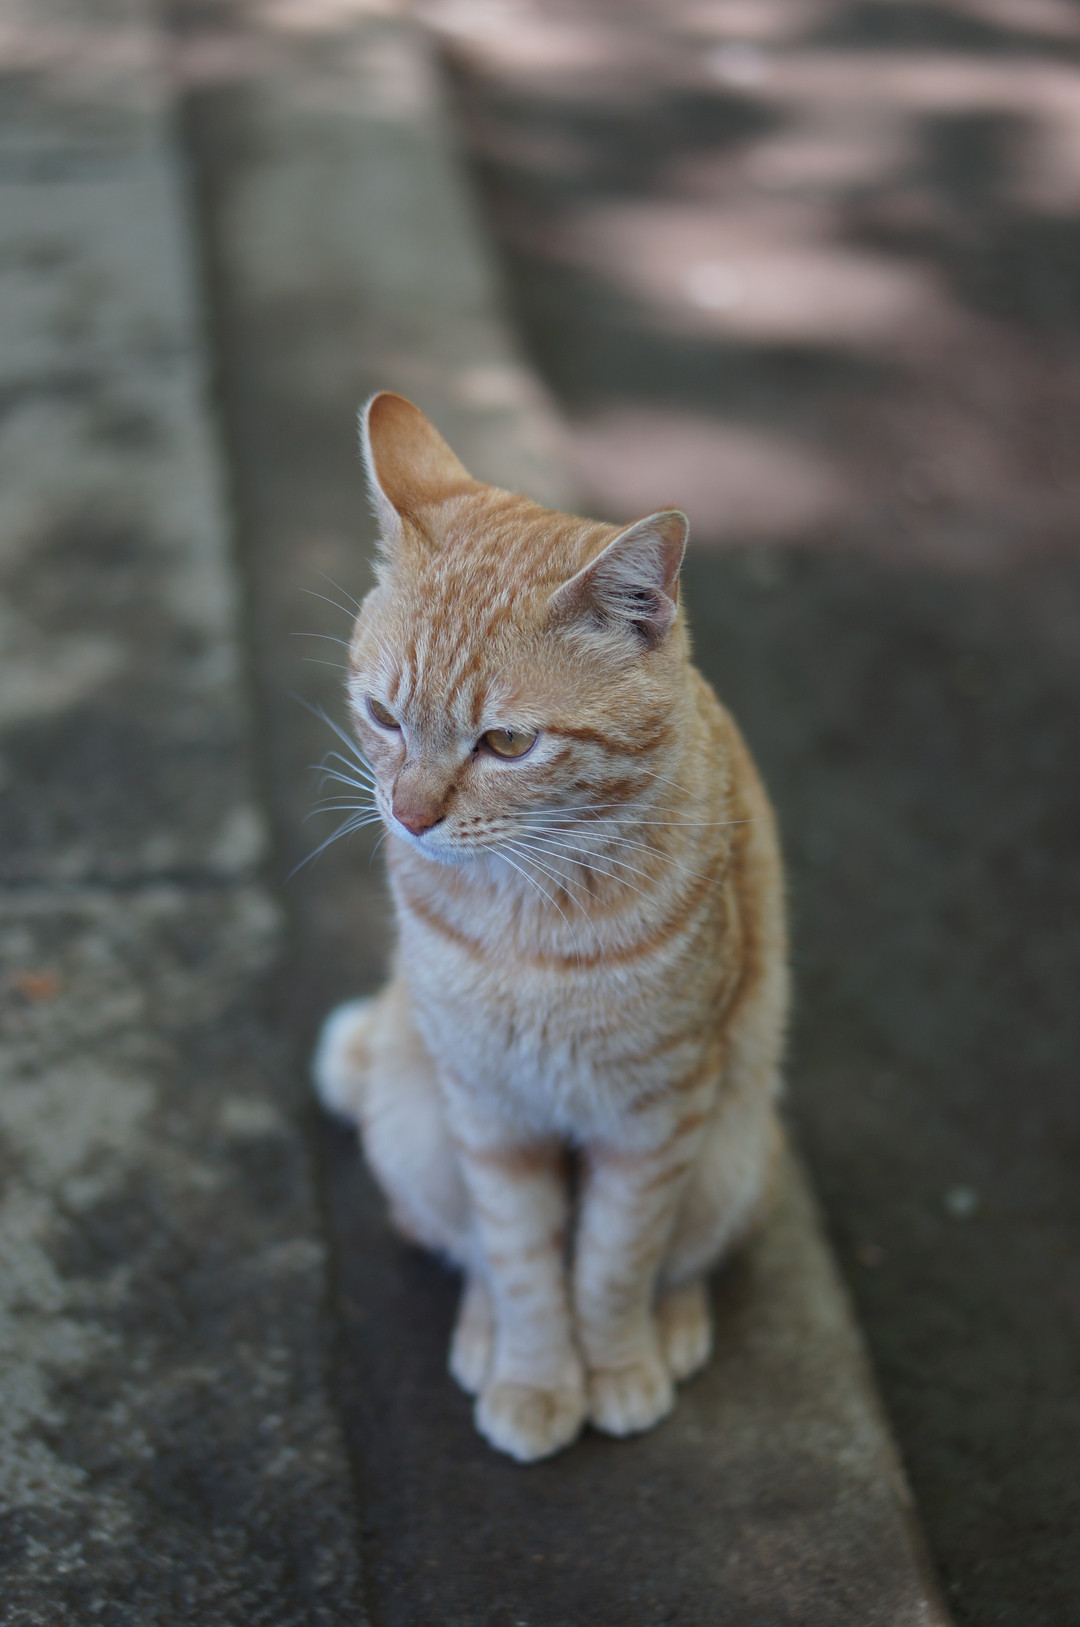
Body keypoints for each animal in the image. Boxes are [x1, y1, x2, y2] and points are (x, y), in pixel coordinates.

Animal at [312, 392, 788, 1462]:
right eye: (384, 716)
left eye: (508, 742)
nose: (409, 814)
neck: (527, 917)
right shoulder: (489, 1109)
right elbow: (524, 1259)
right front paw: (534, 1377)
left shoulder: (654, 1117)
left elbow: (613, 1260)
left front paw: (614, 1366)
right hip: (418, 1121)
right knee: (464, 1247)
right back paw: (485, 1334)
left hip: (733, 1144)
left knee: (687, 1254)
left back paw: (672, 1324)